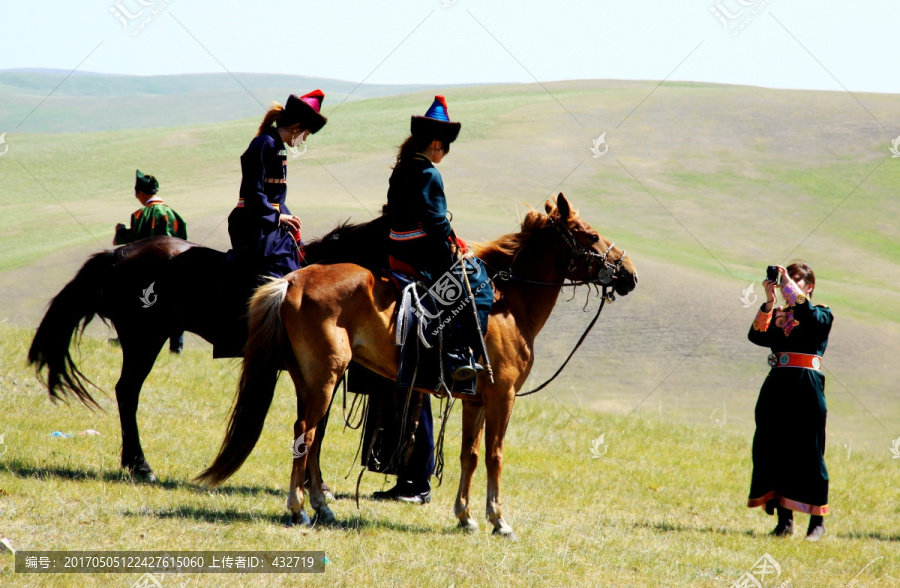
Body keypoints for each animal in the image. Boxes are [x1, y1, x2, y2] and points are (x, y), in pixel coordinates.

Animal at [197, 194, 636, 536]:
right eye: (590, 234)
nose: (629, 273)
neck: (509, 304)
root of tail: (293, 281)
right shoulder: (502, 396)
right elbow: (494, 454)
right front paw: (498, 520)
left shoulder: (475, 400)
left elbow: (469, 455)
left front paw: (465, 516)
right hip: (324, 378)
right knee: (304, 432)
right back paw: (299, 509)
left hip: (311, 381)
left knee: (313, 437)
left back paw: (322, 505)